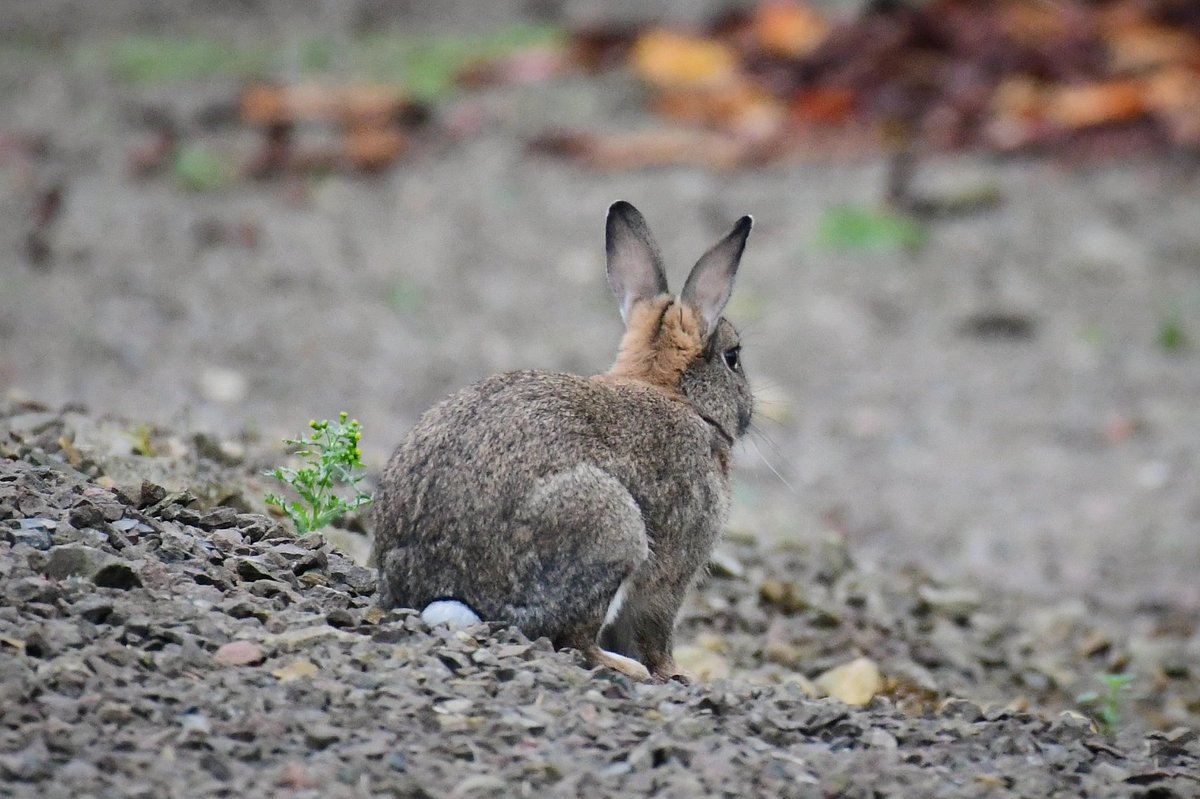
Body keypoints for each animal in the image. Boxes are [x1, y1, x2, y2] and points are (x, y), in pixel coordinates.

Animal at [372, 200, 753, 682]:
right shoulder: (673, 573)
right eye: (733, 357)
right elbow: (654, 631)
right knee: (573, 639)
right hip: (611, 526)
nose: (749, 412)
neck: (674, 392)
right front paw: (672, 674)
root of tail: (433, 590)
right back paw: (627, 668)